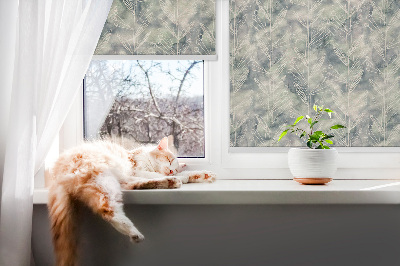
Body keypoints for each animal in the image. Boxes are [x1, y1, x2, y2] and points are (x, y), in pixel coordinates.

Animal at [48, 137, 216, 266]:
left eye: (174, 166)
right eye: (169, 160)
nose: (171, 171)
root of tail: (56, 172)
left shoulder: (134, 174)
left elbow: (184, 174)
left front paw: (203, 175)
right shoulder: (136, 170)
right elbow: (153, 174)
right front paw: (183, 176)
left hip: (114, 182)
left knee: (134, 186)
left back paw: (170, 182)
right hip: (103, 178)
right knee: (107, 209)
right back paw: (134, 232)